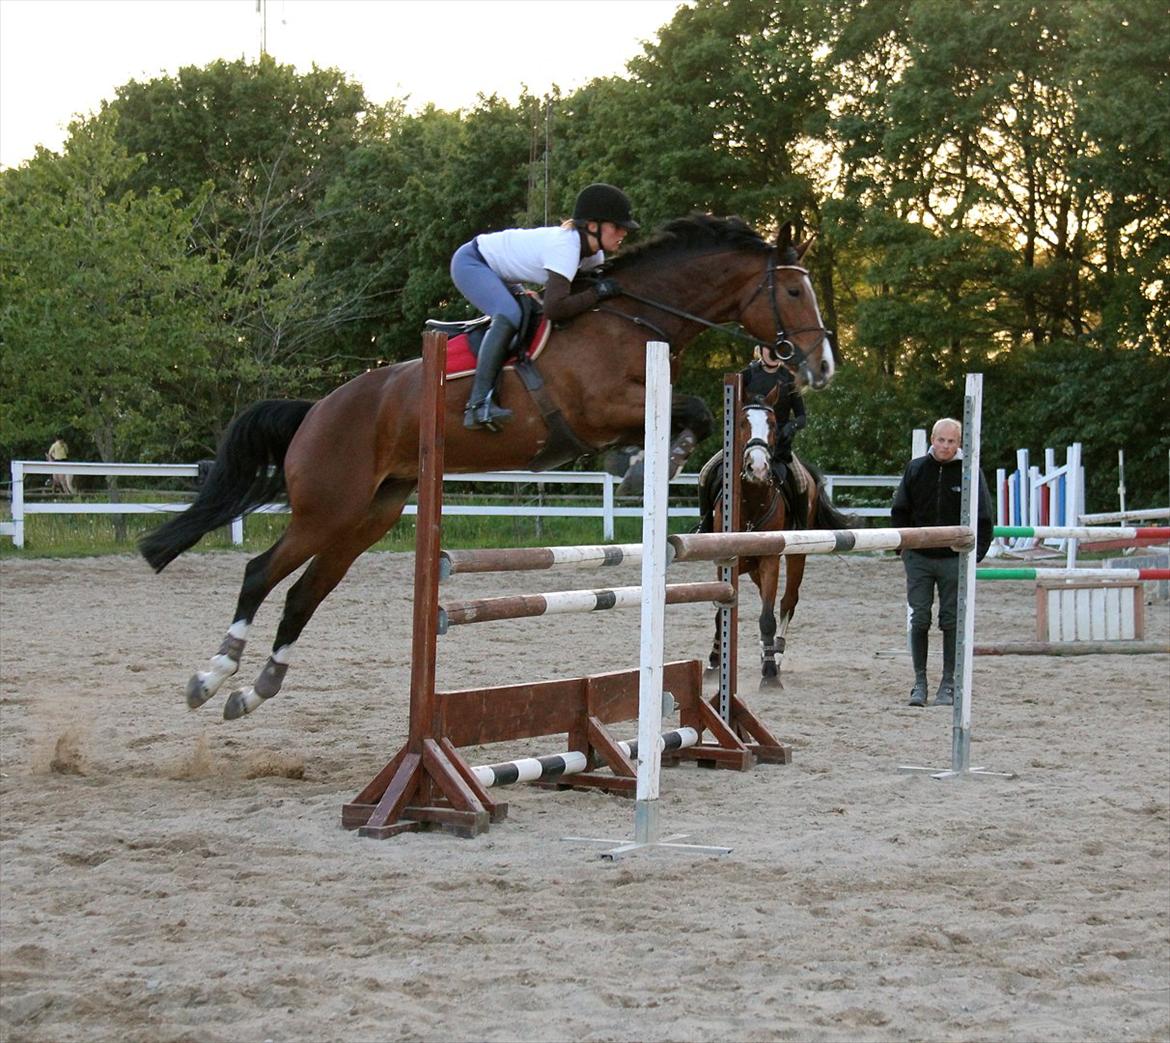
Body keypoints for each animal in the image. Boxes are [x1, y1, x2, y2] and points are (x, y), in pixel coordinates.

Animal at [702, 398, 851, 683]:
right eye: (741, 423)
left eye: (772, 424)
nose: (758, 467)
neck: (750, 501)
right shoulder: (725, 561)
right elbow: (720, 612)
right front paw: (715, 659)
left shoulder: (770, 559)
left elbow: (768, 615)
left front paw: (770, 669)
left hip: (795, 555)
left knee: (786, 602)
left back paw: (776, 652)